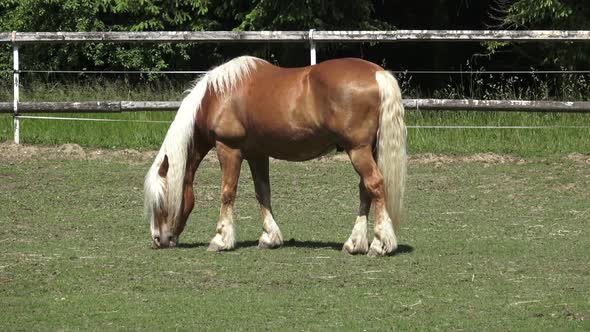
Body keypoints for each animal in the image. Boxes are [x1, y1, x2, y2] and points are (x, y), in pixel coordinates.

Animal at [146, 55, 410, 255]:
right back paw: (354, 243)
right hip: (367, 150)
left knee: (374, 185)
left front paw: (220, 239)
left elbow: (227, 192)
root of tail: (377, 73)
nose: (158, 239)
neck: (217, 97)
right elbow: (262, 193)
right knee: (365, 190)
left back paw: (379, 244)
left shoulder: (228, 149)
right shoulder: (257, 154)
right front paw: (269, 237)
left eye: (160, 201)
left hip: (358, 150)